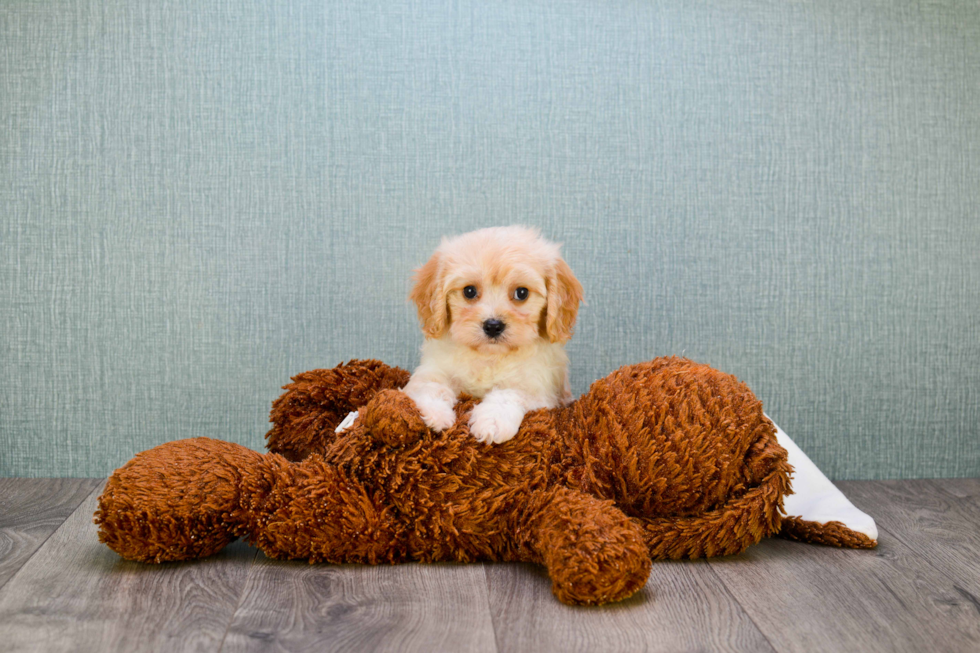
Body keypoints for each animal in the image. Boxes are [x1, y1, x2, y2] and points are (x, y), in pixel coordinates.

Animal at [404, 224, 584, 444]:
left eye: (522, 293)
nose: (493, 325)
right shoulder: (433, 370)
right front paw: (436, 414)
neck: (490, 356)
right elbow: (430, 387)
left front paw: (492, 422)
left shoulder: (536, 389)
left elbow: (507, 394)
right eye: (469, 291)